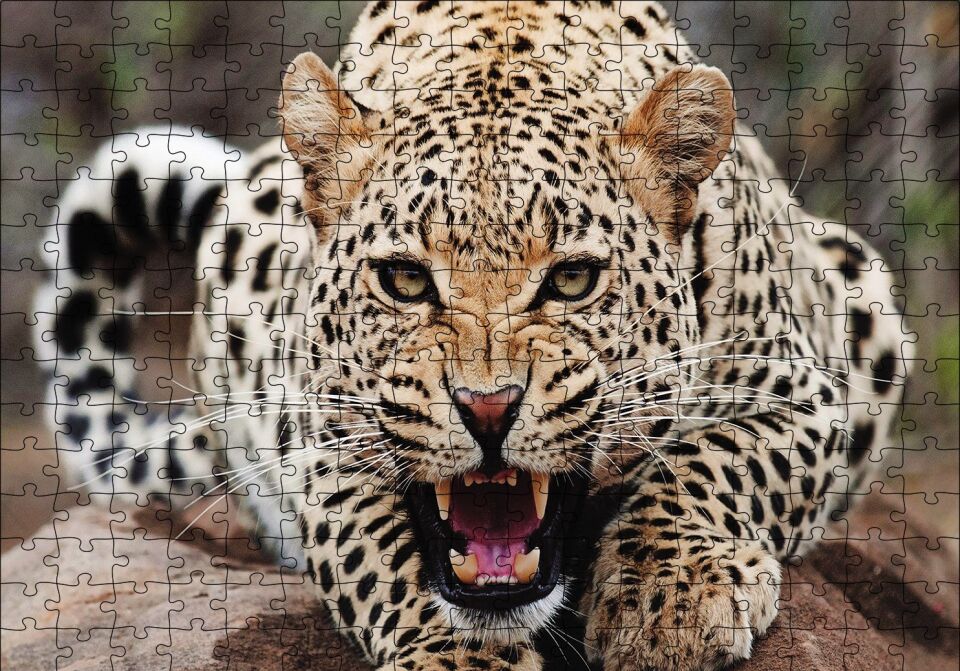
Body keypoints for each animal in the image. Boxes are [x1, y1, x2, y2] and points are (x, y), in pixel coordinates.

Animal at [36, 2, 911, 670]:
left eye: (572, 280)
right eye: (404, 280)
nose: (487, 408)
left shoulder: (803, 395)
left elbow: (713, 464)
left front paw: (672, 600)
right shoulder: (319, 439)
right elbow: (381, 556)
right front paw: (457, 657)